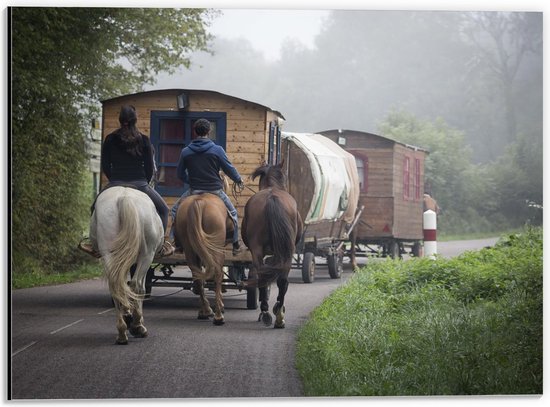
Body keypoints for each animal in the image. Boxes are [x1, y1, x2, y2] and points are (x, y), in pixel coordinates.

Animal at [89, 187, 164, 344]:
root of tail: (124, 197)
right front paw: (134, 321)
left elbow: (124, 285)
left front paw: (127, 315)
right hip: (147, 255)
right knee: (137, 286)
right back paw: (137, 326)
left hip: (109, 253)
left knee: (116, 286)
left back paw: (122, 331)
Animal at [174, 194, 232, 326]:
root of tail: (199, 201)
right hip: (216, 248)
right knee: (217, 274)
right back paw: (218, 316)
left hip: (189, 248)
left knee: (197, 276)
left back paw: (205, 311)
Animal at [242, 162, 304, 328]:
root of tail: (272, 198)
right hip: (287, 251)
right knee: (281, 280)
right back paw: (278, 315)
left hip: (259, 250)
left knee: (265, 276)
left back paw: (266, 312)